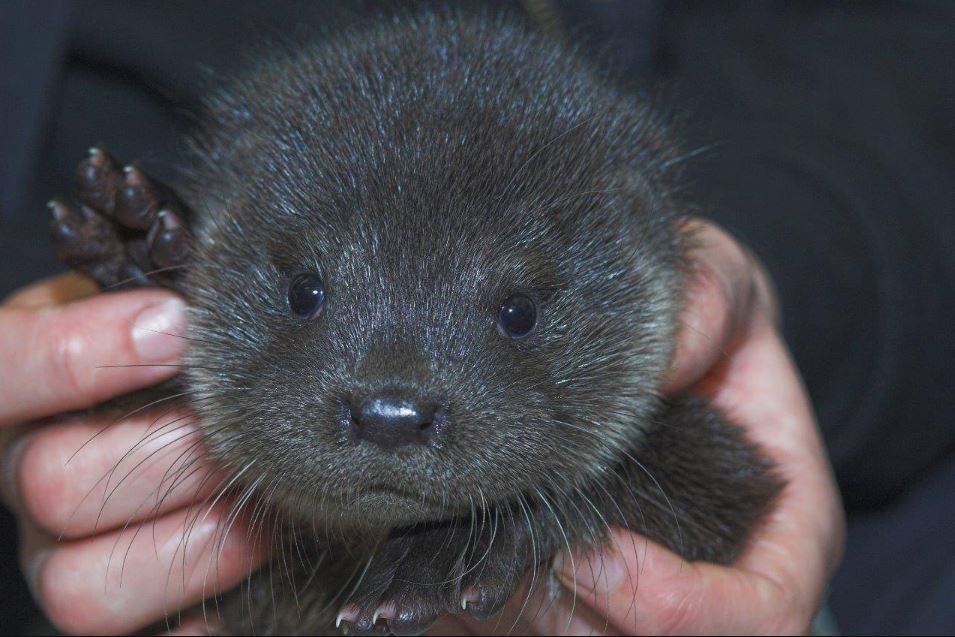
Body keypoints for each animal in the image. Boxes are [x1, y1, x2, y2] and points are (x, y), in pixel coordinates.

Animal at [46, 7, 784, 632]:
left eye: (519, 311)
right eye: (304, 290)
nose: (391, 414)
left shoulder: (728, 470)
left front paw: (451, 551)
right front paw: (140, 245)